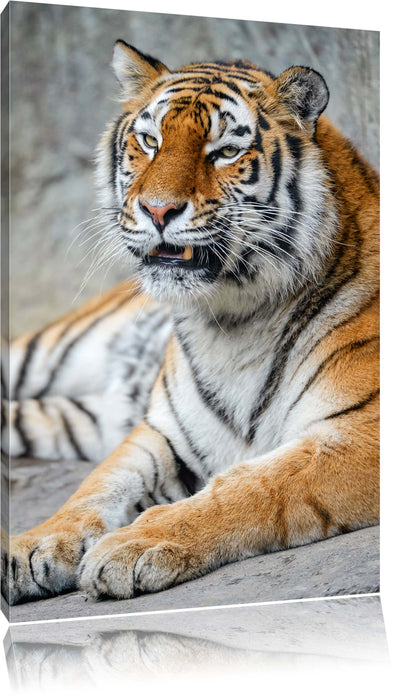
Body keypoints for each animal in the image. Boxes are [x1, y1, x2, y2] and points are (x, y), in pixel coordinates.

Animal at [1, 40, 379, 606]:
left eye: (223, 152)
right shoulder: (161, 432)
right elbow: (98, 485)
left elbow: (252, 486)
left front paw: (130, 547)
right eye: (149, 141)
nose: (157, 210)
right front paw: (35, 544)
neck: (234, 318)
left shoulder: (362, 433)